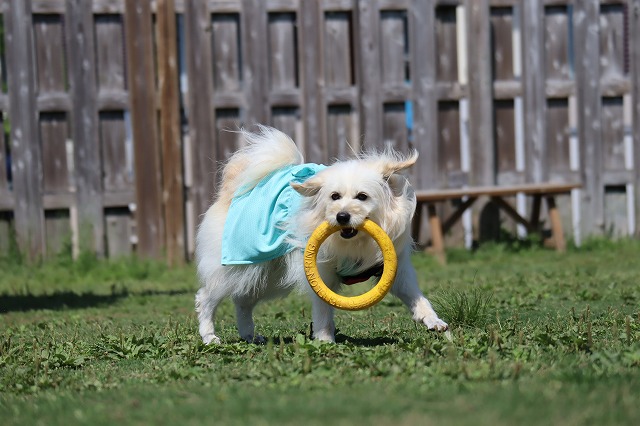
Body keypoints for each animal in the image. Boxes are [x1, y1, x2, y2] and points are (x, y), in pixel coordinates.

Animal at [195, 126, 448, 344]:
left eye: (362, 197)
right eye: (334, 196)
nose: (342, 216)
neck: (356, 242)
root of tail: (232, 190)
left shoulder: (395, 269)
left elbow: (417, 298)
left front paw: (434, 321)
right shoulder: (321, 273)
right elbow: (324, 311)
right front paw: (325, 340)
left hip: (265, 273)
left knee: (242, 301)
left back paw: (249, 335)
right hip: (236, 267)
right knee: (206, 298)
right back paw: (210, 336)